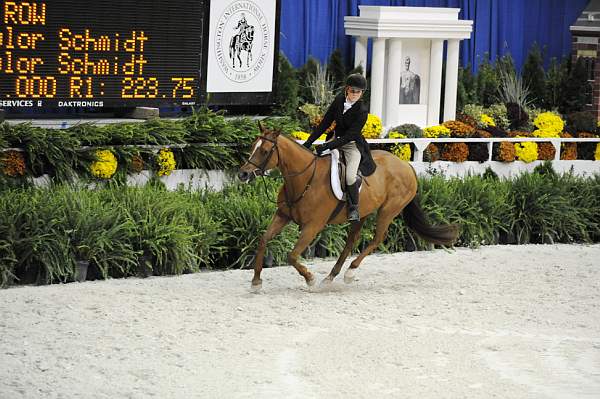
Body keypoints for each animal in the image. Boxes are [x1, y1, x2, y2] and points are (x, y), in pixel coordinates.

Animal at [237, 123, 458, 292]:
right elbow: (263, 240)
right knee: (351, 241)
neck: (304, 179)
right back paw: (331, 276)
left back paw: (350, 272)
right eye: (252, 146)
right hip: (362, 213)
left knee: (377, 238)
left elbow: (291, 256)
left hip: (388, 210)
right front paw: (256, 281)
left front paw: (310, 279)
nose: (243, 174)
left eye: (265, 151)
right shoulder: (282, 215)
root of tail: (407, 166)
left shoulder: (313, 226)